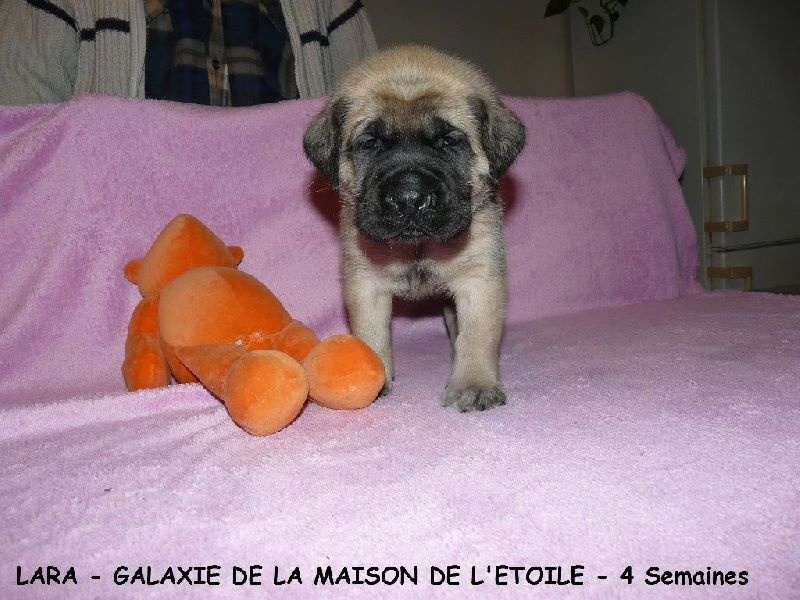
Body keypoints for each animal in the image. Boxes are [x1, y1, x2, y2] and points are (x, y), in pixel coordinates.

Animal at [303, 45, 525, 412]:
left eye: (449, 141)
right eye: (371, 143)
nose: (409, 199)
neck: (417, 248)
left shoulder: (479, 277)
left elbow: (477, 336)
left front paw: (473, 384)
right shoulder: (365, 280)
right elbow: (371, 333)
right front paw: (371, 377)